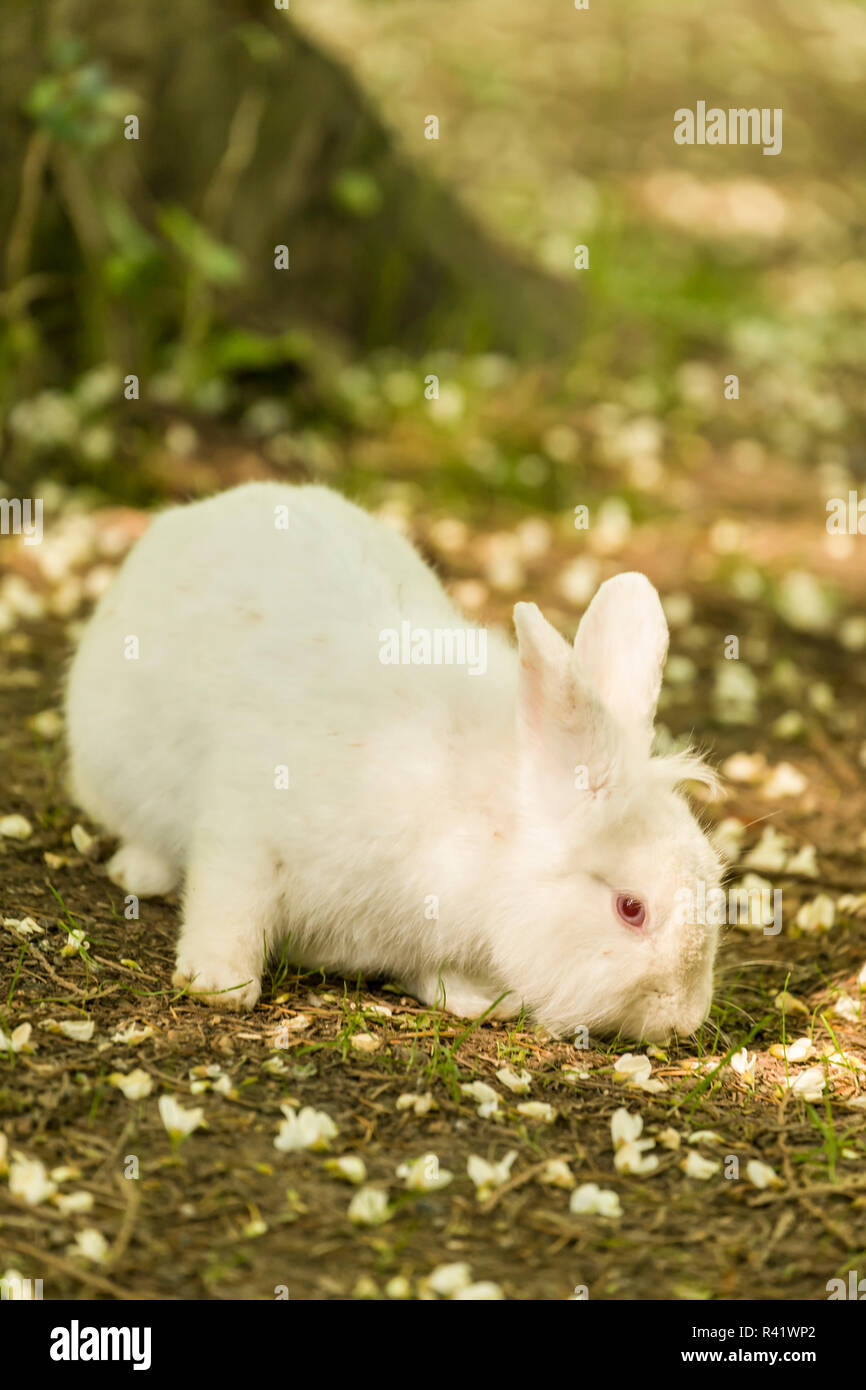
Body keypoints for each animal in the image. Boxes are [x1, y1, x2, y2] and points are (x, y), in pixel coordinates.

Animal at [64, 483, 722, 1039]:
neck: (486, 837)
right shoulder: (247, 829)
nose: (685, 1018)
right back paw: (141, 874)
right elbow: (231, 903)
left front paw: (481, 1002)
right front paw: (219, 983)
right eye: (631, 909)